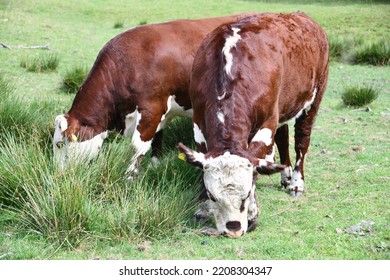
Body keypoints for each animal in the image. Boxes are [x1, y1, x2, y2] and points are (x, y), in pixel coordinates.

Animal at [52, 13, 256, 175]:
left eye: (60, 144)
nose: (58, 174)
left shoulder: (151, 107)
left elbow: (137, 145)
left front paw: (130, 176)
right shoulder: (160, 110)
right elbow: (158, 135)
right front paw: (154, 164)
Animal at [180, 12, 330, 237]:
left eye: (248, 192)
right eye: (213, 195)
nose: (233, 227)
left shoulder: (268, 121)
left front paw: (251, 212)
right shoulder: (198, 122)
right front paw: (204, 207)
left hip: (315, 96)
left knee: (302, 140)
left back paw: (296, 183)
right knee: (283, 137)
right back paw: (285, 175)